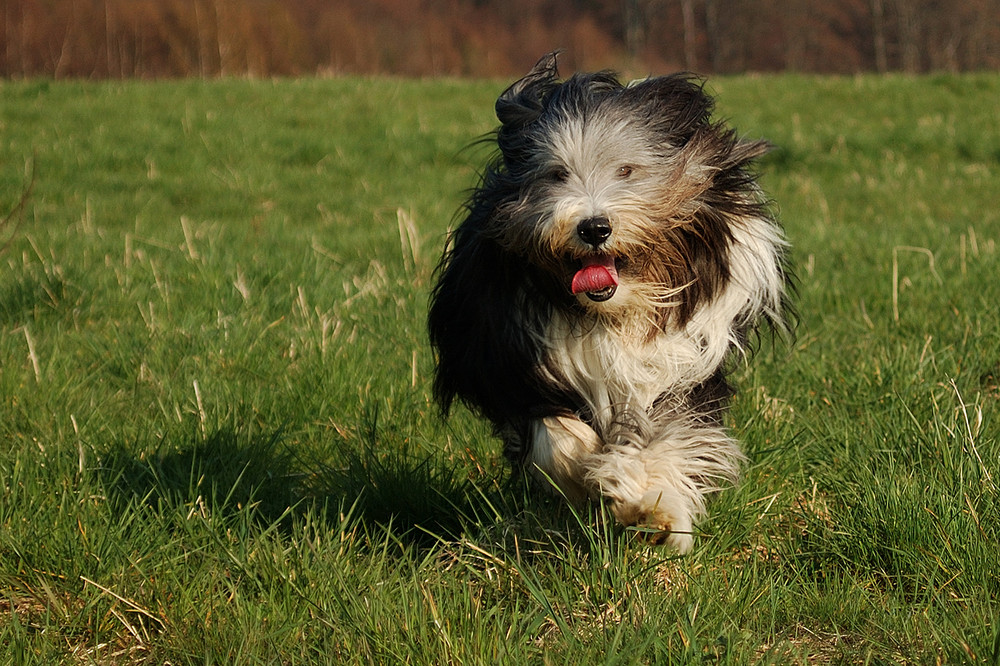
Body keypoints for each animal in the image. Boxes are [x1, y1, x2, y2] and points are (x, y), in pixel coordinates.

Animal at [428, 53, 788, 548]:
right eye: (556, 173)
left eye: (627, 170)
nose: (594, 228)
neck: (610, 315)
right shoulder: (513, 363)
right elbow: (554, 431)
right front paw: (583, 473)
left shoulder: (681, 365)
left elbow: (667, 433)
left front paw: (651, 509)